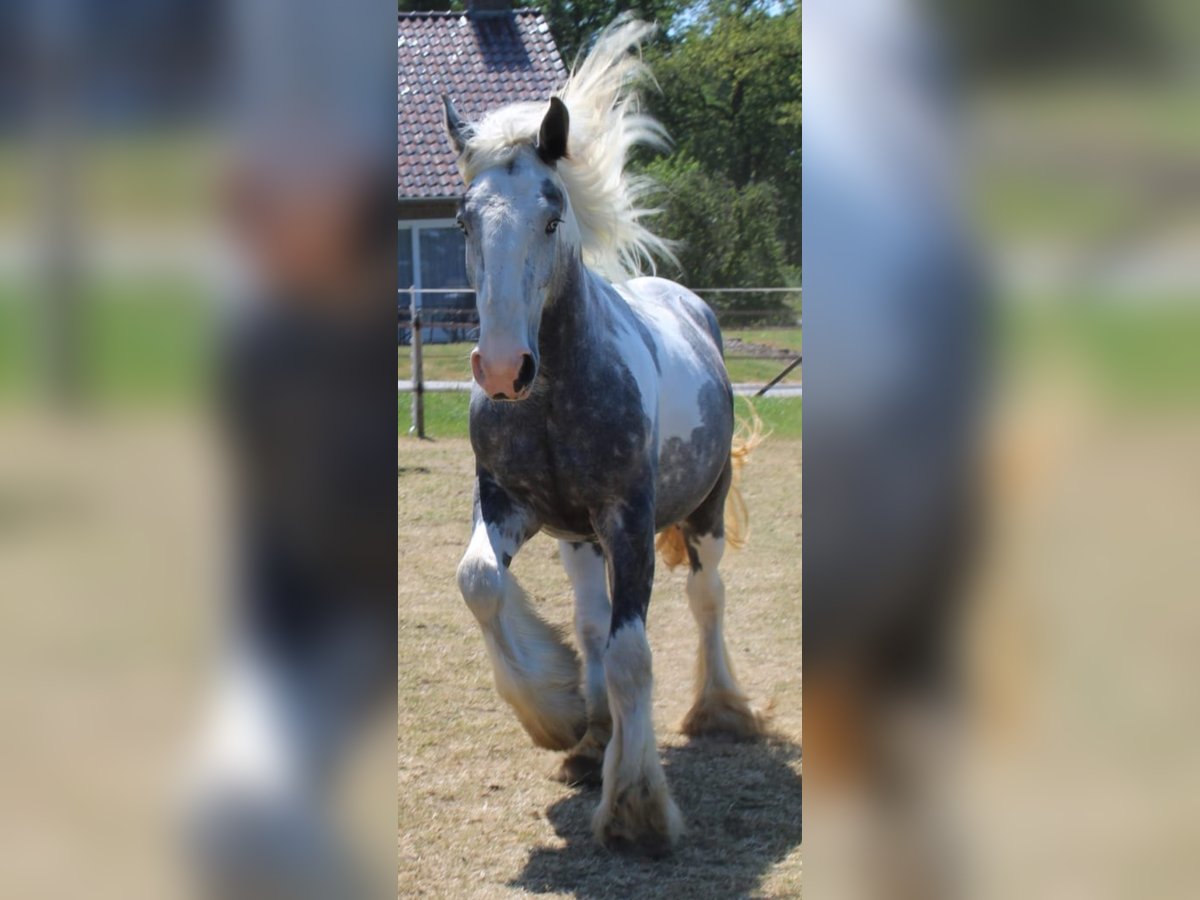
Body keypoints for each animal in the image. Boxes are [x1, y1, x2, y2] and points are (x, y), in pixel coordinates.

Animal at [444, 17, 768, 854]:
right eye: (463, 220)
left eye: (552, 216)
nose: (502, 367)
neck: (557, 395)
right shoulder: (511, 505)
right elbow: (481, 583)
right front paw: (558, 714)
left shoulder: (628, 521)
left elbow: (632, 654)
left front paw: (636, 806)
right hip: (577, 538)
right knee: (591, 621)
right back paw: (592, 739)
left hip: (701, 513)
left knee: (707, 600)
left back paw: (719, 711)